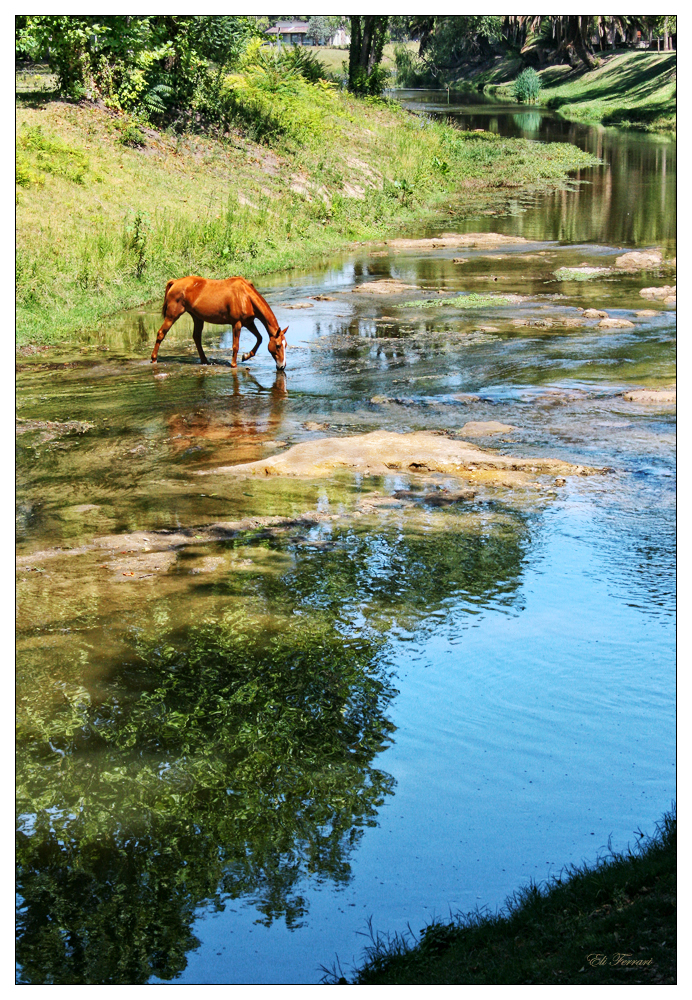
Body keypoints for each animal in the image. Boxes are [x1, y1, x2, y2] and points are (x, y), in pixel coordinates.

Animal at [152, 276, 290, 370]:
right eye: (278, 345)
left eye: (286, 345)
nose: (282, 366)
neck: (245, 296)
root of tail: (175, 282)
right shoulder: (237, 324)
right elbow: (235, 346)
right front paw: (234, 364)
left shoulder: (248, 322)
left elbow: (260, 338)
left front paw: (246, 356)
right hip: (172, 316)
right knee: (161, 333)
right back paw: (153, 359)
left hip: (197, 318)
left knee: (196, 337)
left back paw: (205, 360)